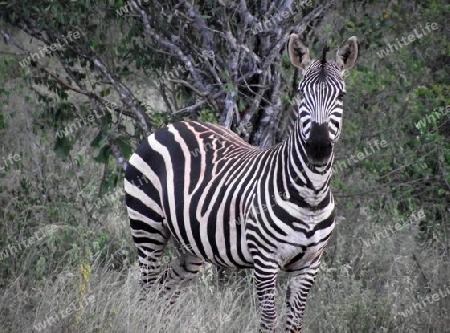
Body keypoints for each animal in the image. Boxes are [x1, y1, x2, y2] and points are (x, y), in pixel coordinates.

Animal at [125, 34, 358, 332]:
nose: (318, 147)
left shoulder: (309, 265)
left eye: (341, 96)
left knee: (165, 288)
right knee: (147, 287)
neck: (311, 195)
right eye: (301, 93)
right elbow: (268, 321)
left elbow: (294, 324)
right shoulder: (266, 260)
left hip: (191, 246)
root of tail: (170, 126)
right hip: (147, 226)